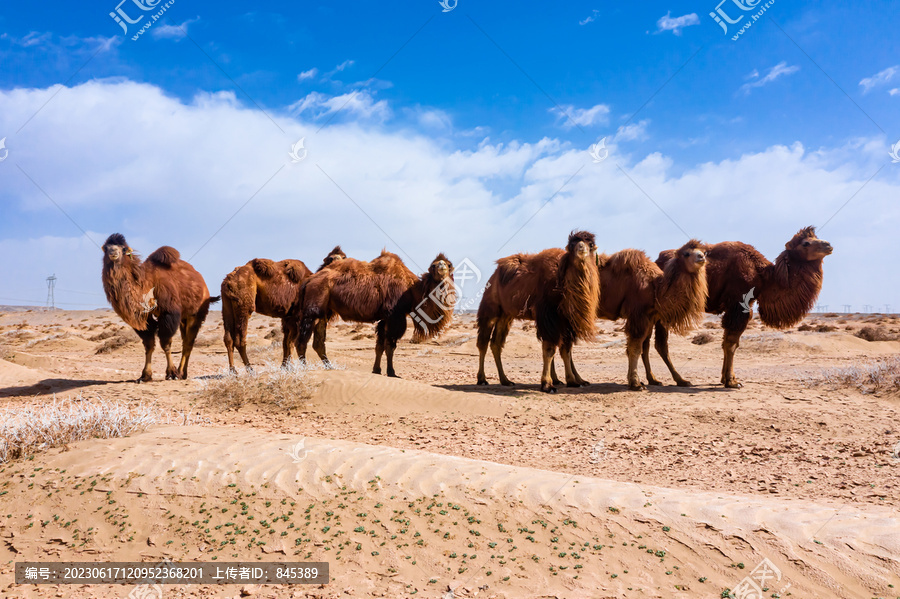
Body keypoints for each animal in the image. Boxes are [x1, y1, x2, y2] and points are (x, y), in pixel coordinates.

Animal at [101, 232, 219, 382]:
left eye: (123, 248)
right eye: (106, 247)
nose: (113, 252)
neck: (145, 283)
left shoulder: (169, 313)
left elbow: (166, 343)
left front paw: (171, 373)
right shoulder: (144, 317)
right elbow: (149, 344)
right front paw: (145, 376)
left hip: (196, 314)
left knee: (188, 343)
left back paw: (181, 373)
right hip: (183, 318)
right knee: (185, 341)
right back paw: (183, 373)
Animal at [292, 248, 454, 376]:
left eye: (449, 264)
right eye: (433, 265)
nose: (441, 266)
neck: (412, 291)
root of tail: (308, 281)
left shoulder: (384, 319)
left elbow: (379, 346)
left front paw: (376, 370)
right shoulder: (394, 316)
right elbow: (390, 346)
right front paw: (391, 372)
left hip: (325, 311)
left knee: (318, 342)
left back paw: (330, 367)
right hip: (313, 308)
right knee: (301, 341)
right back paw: (305, 368)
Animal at [474, 231, 600, 394]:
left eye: (590, 244)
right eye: (572, 244)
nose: (581, 248)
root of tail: (494, 275)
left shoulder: (566, 321)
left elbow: (566, 350)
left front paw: (574, 381)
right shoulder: (548, 315)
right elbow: (549, 349)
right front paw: (548, 384)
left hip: (506, 316)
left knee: (496, 343)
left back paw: (506, 380)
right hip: (490, 308)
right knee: (483, 342)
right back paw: (482, 379)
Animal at [592, 241, 712, 392]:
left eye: (704, 252)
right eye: (686, 253)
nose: (701, 257)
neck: (656, 289)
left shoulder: (649, 317)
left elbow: (647, 347)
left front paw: (672, 380)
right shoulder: (638, 314)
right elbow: (636, 348)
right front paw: (636, 383)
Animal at [652, 226, 832, 390]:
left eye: (816, 238)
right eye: (806, 243)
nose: (828, 245)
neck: (763, 276)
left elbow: (729, 342)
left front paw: (724, 378)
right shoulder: (738, 305)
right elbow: (731, 343)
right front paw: (732, 382)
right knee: (661, 344)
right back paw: (679, 380)